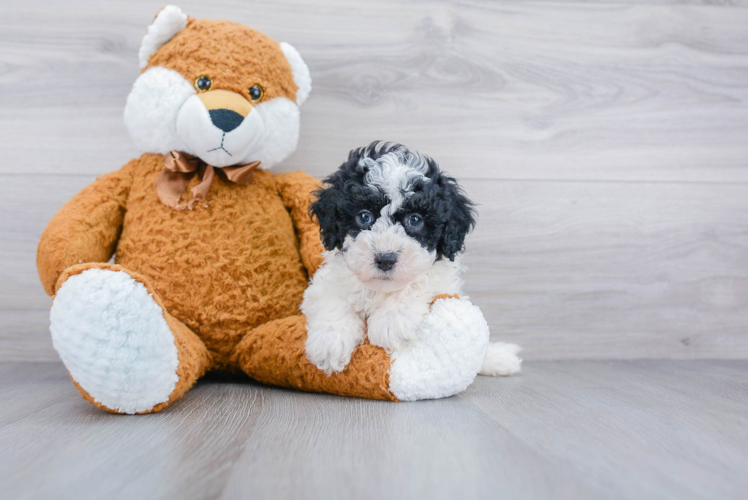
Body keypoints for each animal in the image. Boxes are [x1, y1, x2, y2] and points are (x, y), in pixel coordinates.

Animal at [300, 141, 524, 376]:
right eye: (364, 216)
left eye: (415, 220)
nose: (385, 259)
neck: (381, 290)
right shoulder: (323, 286)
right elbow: (333, 300)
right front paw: (329, 341)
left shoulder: (442, 283)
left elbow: (418, 283)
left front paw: (391, 322)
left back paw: (499, 358)